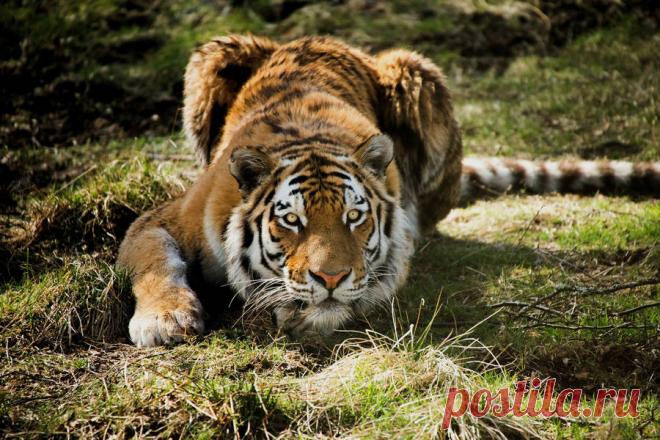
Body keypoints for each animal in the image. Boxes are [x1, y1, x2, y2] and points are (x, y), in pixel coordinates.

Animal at [117, 35, 659, 347]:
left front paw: (309, 313)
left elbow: (361, 295)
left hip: (417, 74)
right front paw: (164, 320)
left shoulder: (393, 257)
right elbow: (155, 262)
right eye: (291, 221)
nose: (330, 278)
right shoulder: (162, 219)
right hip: (214, 53)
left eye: (354, 218)